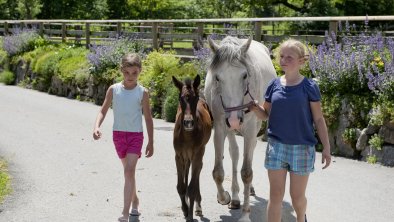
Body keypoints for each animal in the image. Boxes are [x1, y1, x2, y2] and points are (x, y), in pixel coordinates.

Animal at [203, 35, 278, 221]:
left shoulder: (250, 129)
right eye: (217, 78)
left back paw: (247, 191)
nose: (234, 119)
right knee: (235, 153)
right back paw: (237, 197)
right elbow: (218, 172)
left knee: (248, 152)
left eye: (245, 75)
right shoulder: (220, 127)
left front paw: (245, 215)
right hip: (230, 129)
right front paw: (225, 197)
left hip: (252, 127)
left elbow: (247, 172)